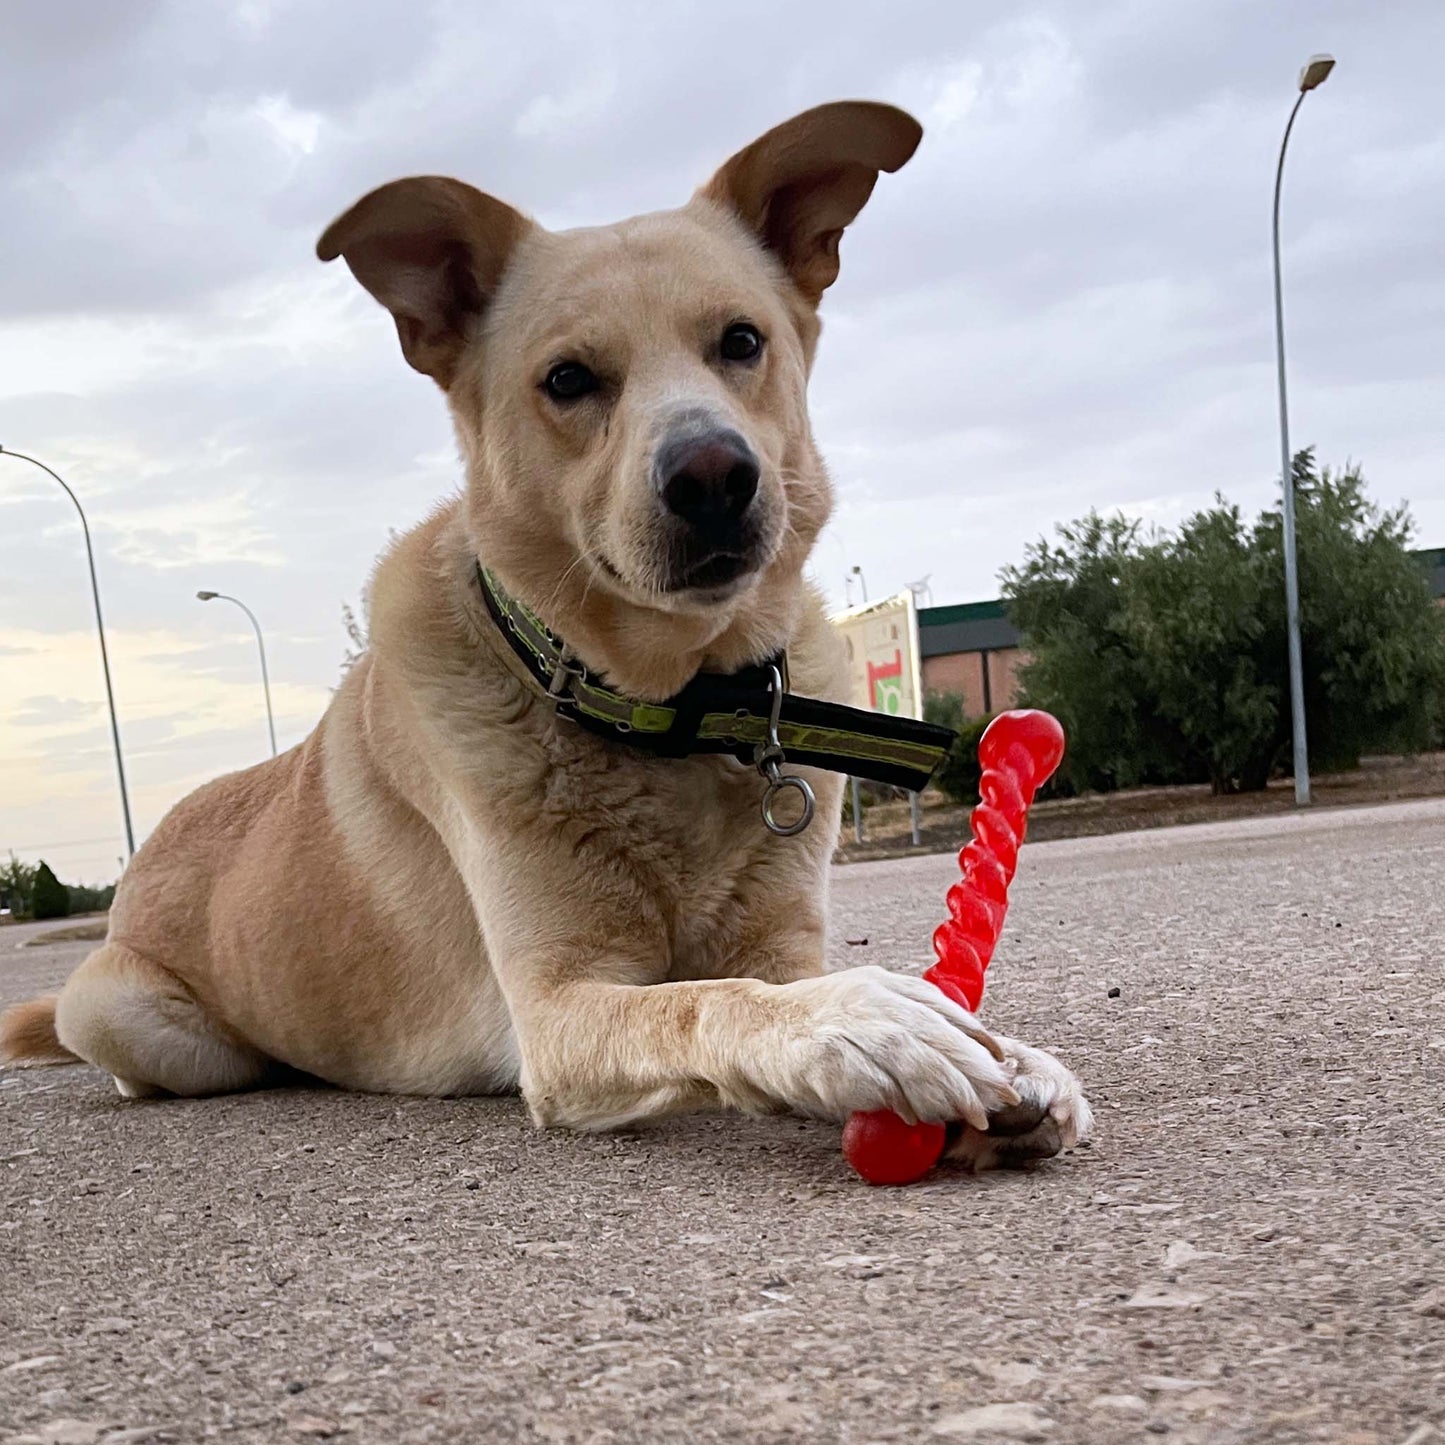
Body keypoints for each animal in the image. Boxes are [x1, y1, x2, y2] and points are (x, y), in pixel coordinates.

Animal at [0, 98, 1086, 1161]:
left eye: (740, 342)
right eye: (567, 379)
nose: (713, 475)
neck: (664, 707)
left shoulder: (778, 941)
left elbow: (771, 975)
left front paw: (1006, 1050)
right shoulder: (557, 1012)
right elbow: (709, 1000)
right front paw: (866, 1022)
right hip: (150, 1030)